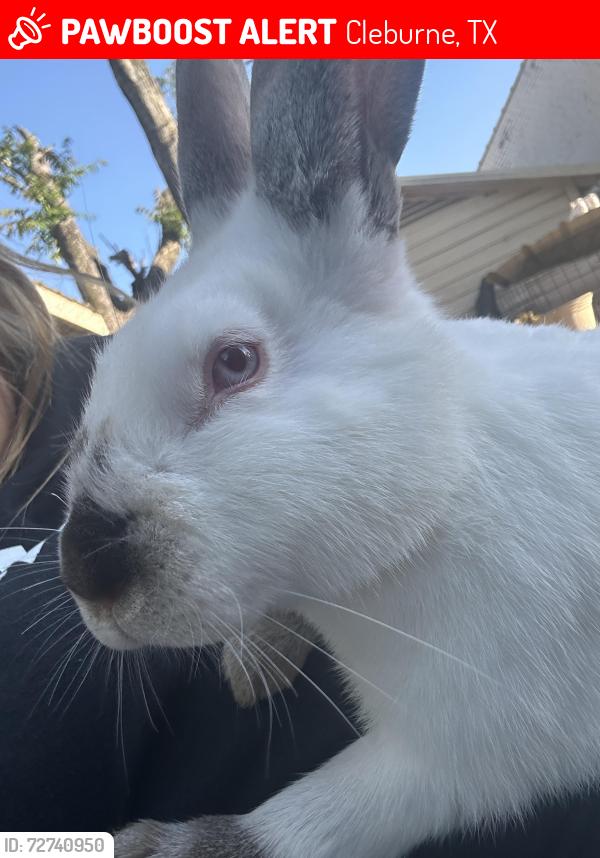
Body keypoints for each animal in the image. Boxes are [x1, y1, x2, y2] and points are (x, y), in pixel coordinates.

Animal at [59, 59, 600, 858]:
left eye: (234, 362)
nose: (86, 573)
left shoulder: (473, 740)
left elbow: (284, 831)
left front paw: (143, 845)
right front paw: (255, 664)